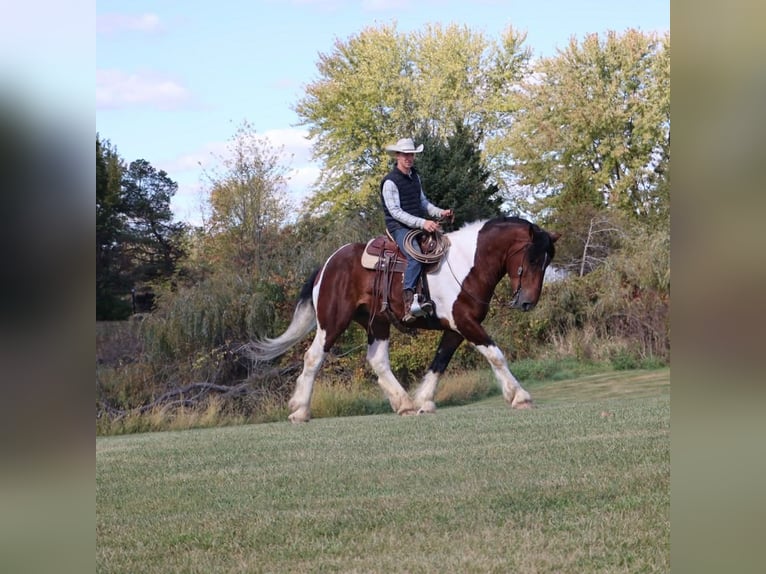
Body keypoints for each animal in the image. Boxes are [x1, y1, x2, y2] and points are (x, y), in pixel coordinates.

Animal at [247, 216, 560, 423]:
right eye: (532, 259)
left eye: (547, 261)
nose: (527, 302)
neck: (468, 263)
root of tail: (327, 265)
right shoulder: (465, 322)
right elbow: (496, 355)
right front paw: (520, 396)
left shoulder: (456, 329)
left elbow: (439, 362)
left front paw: (424, 401)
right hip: (332, 322)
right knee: (313, 358)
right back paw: (300, 410)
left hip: (377, 323)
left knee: (377, 361)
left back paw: (405, 404)